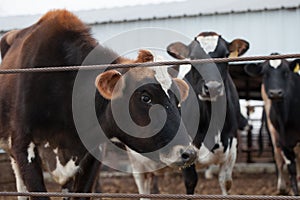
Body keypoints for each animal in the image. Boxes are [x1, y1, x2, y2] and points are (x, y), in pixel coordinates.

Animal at [245, 55, 300, 195]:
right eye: (265, 74)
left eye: (286, 73)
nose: (275, 93)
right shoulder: (283, 139)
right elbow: (291, 167)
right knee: (278, 157)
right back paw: (282, 187)